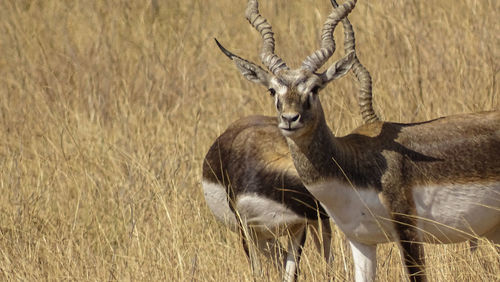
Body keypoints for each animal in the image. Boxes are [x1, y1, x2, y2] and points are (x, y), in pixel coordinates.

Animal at [215, 0, 500, 282]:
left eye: (315, 88)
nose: (289, 119)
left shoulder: (408, 232)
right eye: (272, 90)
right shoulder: (361, 240)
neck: (351, 161)